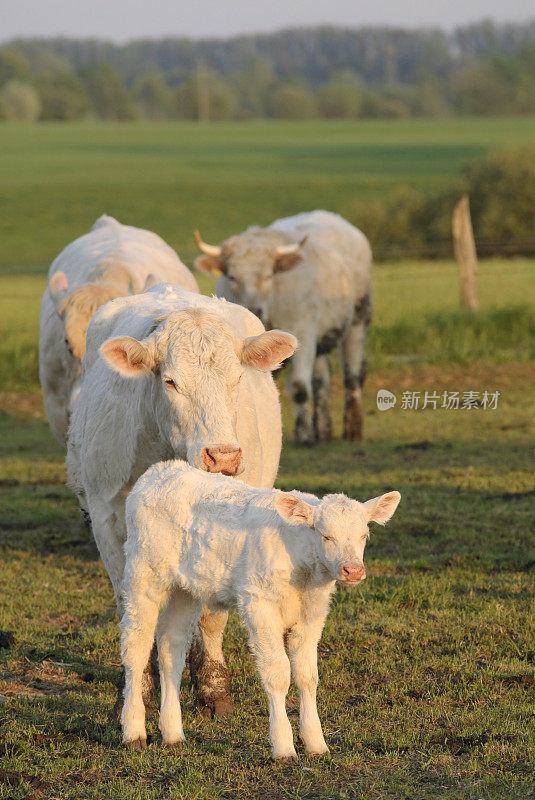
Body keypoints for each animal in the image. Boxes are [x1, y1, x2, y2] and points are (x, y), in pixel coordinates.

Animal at [119, 460, 400, 760]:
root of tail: (160, 471)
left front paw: (316, 743)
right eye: (326, 535)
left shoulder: (312, 614)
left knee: (171, 647)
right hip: (144, 575)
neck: (303, 573)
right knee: (136, 647)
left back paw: (173, 734)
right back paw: (134, 732)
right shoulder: (259, 607)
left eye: (364, 535)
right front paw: (284, 745)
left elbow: (307, 676)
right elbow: (277, 673)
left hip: (186, 589)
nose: (353, 570)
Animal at [195, 209, 374, 446]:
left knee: (352, 375)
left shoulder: (303, 331)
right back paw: (323, 430)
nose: (254, 308)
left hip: (357, 320)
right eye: (232, 276)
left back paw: (352, 429)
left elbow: (299, 388)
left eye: (269, 275)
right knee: (321, 382)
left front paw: (304, 435)